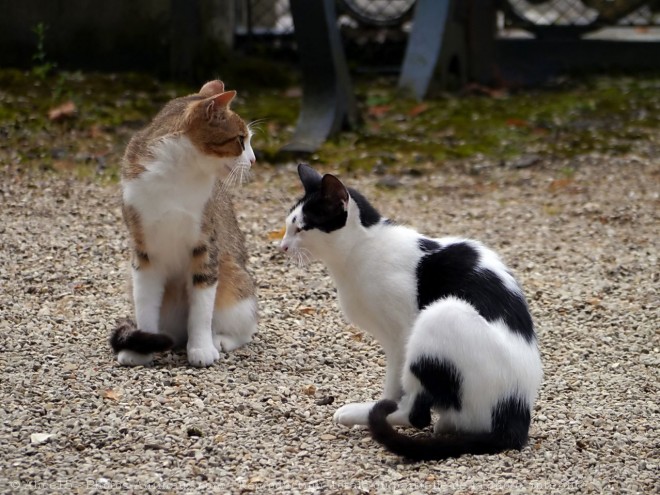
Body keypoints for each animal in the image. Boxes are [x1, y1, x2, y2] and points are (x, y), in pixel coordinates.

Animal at [111, 80, 258, 368]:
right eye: (240, 140)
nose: (253, 160)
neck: (177, 174)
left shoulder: (206, 245)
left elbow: (202, 308)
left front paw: (201, 348)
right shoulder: (144, 251)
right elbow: (145, 303)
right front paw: (141, 348)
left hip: (235, 285)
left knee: (243, 326)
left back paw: (220, 339)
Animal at [278, 164, 540, 462]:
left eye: (301, 227)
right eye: (288, 225)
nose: (282, 246)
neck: (360, 250)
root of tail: (517, 413)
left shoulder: (401, 334)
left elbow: (395, 383)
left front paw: (378, 406)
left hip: (441, 315)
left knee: (417, 416)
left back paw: (360, 414)